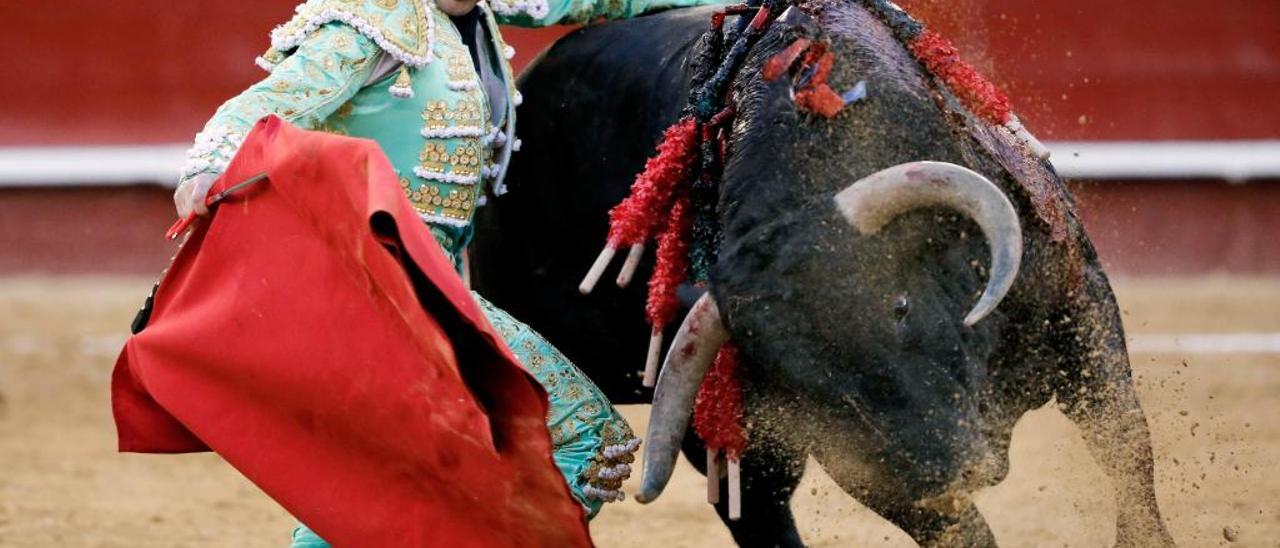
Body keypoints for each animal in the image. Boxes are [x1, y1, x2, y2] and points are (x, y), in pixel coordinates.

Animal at [471, 2, 1172, 545]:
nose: (954, 468)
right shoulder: (858, 453)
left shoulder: (1081, 311)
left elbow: (1125, 448)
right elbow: (957, 528)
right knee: (760, 518)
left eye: (898, 306)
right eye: (801, 382)